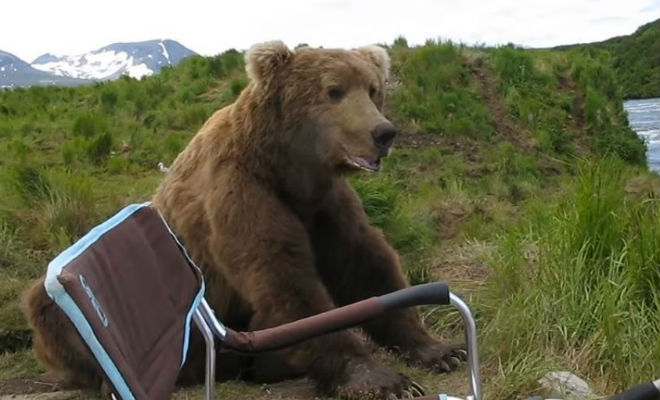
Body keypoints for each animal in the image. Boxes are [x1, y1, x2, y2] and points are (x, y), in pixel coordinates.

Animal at [23, 42, 462, 398]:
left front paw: (440, 350)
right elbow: (283, 277)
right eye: (334, 90)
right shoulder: (240, 192)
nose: (383, 132)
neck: (286, 168)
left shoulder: (325, 204)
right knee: (47, 307)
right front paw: (380, 379)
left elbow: (366, 263)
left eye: (372, 89)